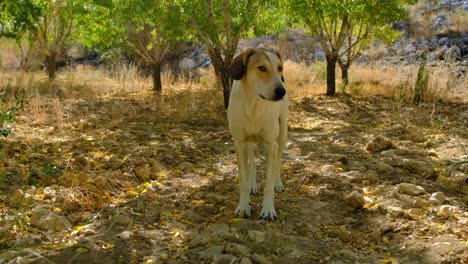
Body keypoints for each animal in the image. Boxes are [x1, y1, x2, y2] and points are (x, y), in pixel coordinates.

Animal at [228, 48, 288, 221]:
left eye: (280, 68)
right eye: (262, 68)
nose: (281, 91)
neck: (253, 104)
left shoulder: (271, 143)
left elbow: (269, 183)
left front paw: (268, 209)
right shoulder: (239, 143)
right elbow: (243, 179)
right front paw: (243, 207)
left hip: (282, 135)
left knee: (277, 160)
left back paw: (278, 183)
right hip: (248, 142)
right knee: (252, 161)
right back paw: (252, 184)